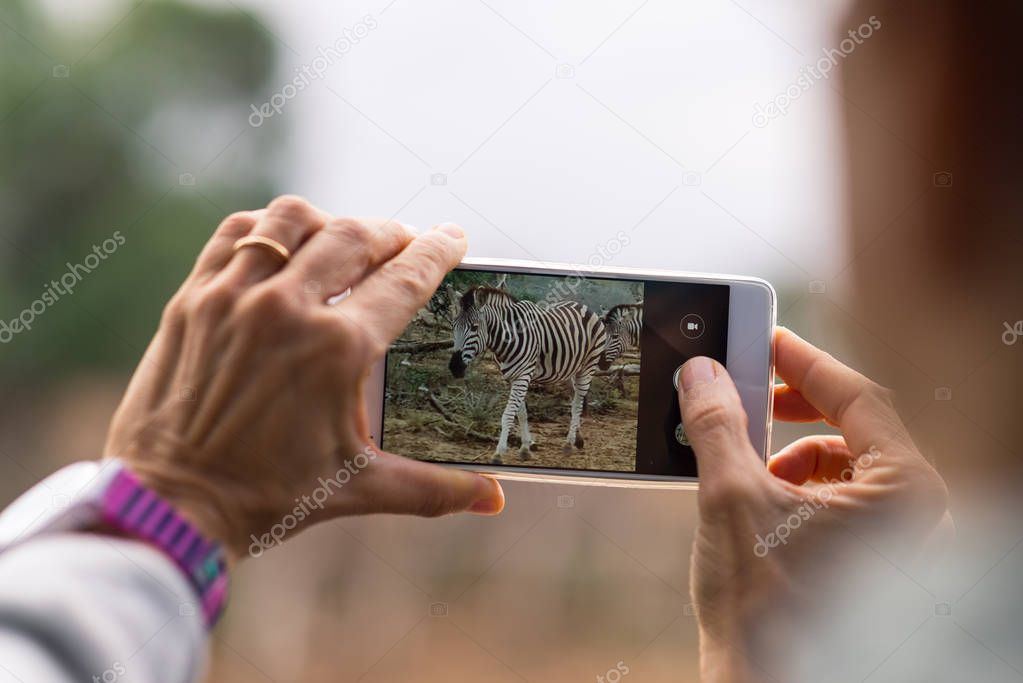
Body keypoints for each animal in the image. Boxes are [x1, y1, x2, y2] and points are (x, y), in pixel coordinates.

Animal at [448, 286, 605, 466]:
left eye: (474, 327)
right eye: (453, 325)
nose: (454, 368)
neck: (509, 338)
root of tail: (583, 306)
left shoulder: (522, 376)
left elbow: (508, 415)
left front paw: (498, 453)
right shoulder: (512, 378)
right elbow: (521, 413)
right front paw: (525, 448)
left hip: (588, 366)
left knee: (577, 404)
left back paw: (568, 443)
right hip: (568, 370)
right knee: (575, 400)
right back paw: (577, 439)